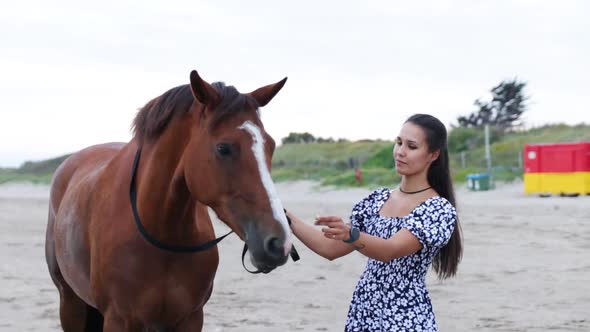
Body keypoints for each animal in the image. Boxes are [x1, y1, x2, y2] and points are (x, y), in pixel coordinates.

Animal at [45, 69, 294, 330]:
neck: (162, 232)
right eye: (223, 148)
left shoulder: (190, 318)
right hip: (70, 302)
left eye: (271, 146)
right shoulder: (118, 319)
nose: (279, 242)